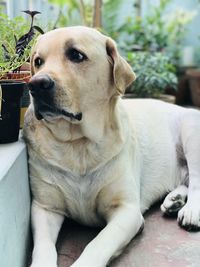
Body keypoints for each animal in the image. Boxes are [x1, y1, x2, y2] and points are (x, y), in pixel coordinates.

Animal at [22, 25, 200, 267]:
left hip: (191, 130)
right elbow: (43, 247)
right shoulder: (44, 208)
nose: (36, 85)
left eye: (76, 55)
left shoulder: (127, 211)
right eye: (38, 61)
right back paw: (174, 200)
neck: (78, 145)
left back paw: (190, 210)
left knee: (197, 181)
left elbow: (97, 244)